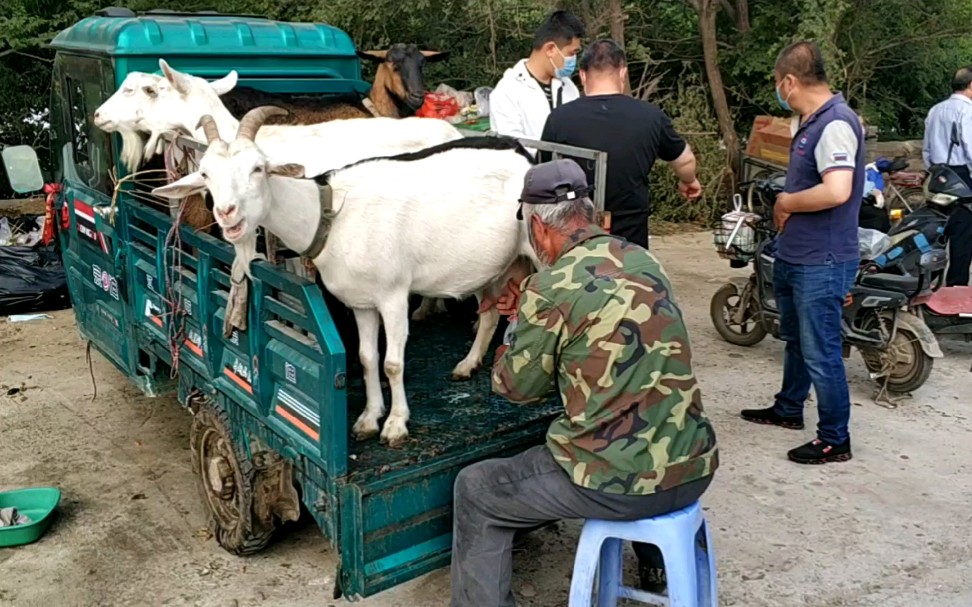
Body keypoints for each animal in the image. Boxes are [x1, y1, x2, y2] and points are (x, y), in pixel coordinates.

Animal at [152, 107, 536, 446]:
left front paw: (395, 425)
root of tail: (525, 156)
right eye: (205, 173)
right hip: (492, 264)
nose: (227, 213)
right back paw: (468, 364)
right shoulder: (361, 302)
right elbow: (367, 358)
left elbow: (392, 363)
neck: (330, 213)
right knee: (490, 313)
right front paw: (368, 418)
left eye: (258, 168)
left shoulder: (393, 295)